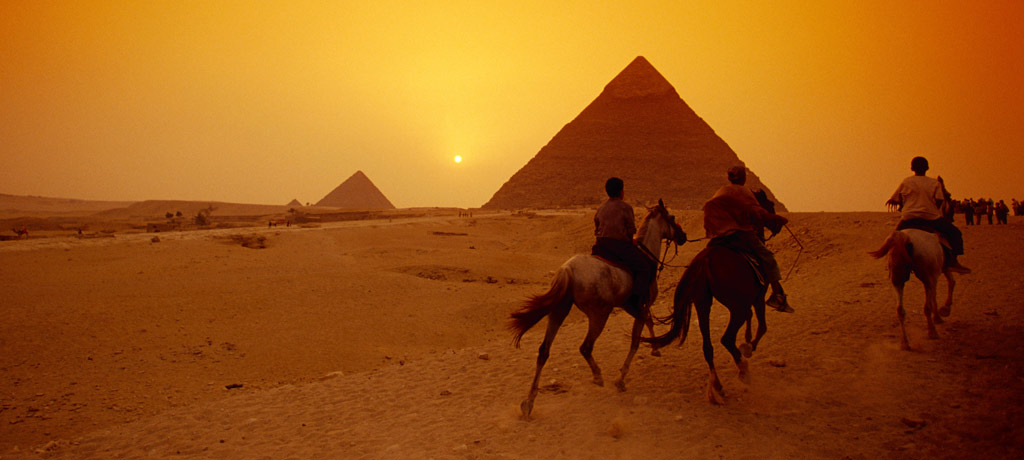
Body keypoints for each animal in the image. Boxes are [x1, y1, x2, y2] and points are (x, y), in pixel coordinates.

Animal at [507, 198, 684, 417]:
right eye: (673, 217)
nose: (683, 236)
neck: (646, 255)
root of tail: (568, 269)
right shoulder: (641, 305)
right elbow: (635, 341)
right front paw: (621, 379)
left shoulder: (631, 306)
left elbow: (649, 323)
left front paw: (655, 348)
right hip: (600, 314)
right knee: (585, 347)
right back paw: (598, 376)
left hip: (559, 310)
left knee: (543, 351)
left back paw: (529, 402)